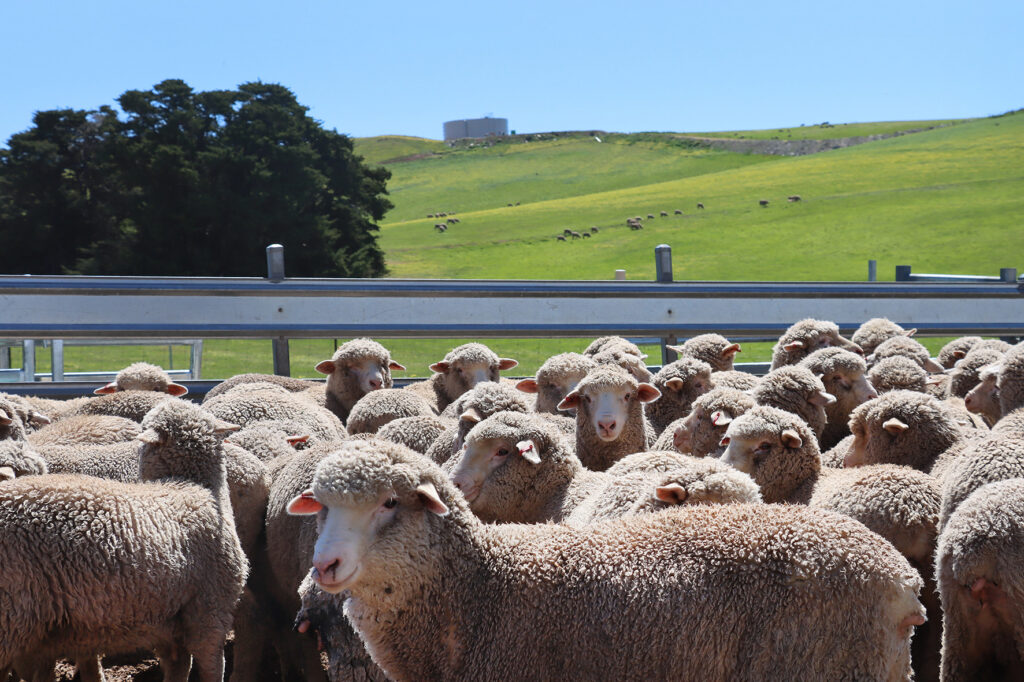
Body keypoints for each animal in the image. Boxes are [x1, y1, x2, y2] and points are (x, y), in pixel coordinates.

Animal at [0, 400, 248, 682]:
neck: (191, 485)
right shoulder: (208, 611)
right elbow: (207, 668)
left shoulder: (184, 619)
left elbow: (186, 667)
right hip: (11, 616)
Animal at [287, 438, 925, 681]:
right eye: (320, 505)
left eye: (390, 502)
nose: (325, 566)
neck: (479, 589)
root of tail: (902, 580)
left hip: (823, 666)